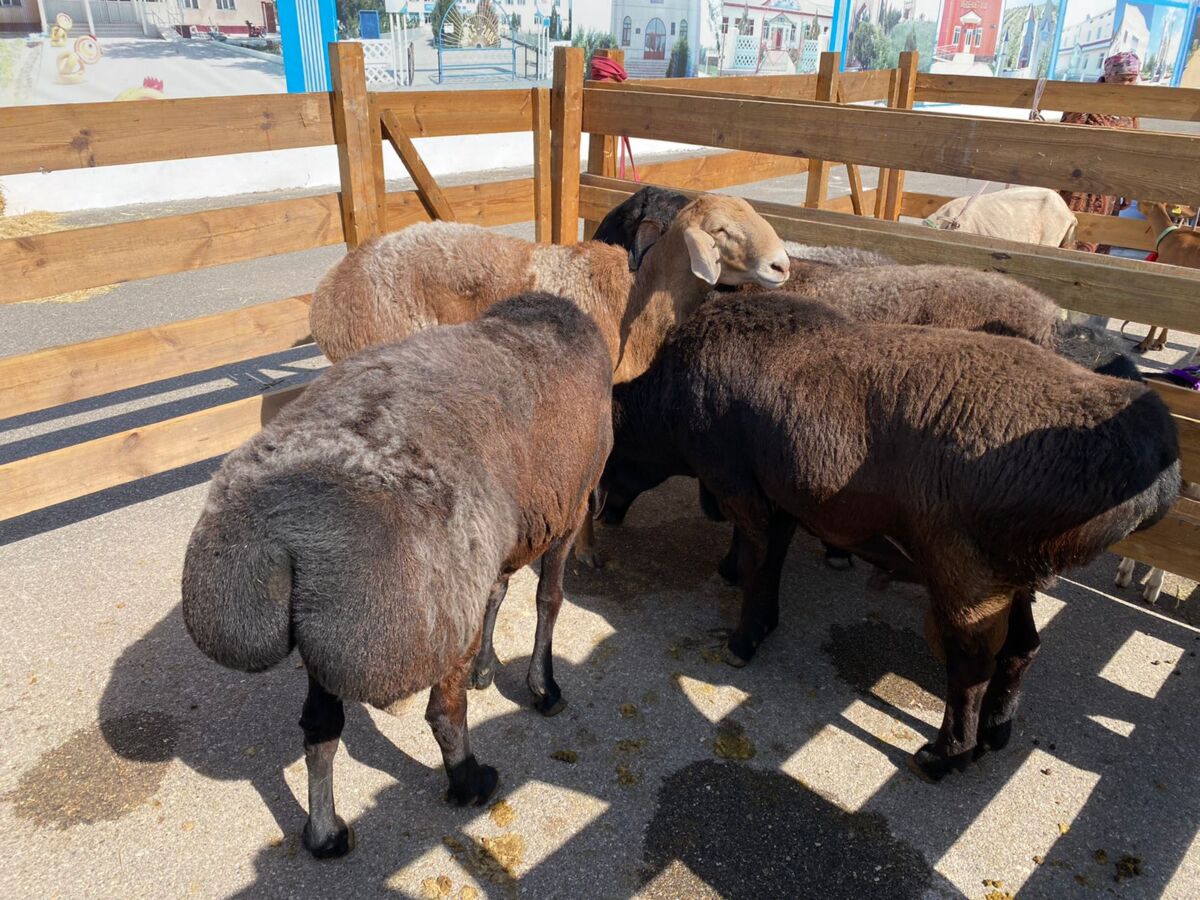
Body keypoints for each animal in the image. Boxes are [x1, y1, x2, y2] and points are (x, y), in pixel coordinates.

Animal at [182, 294, 614, 859]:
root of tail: (285, 531)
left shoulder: (502, 538)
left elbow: (498, 591)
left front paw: (487, 667)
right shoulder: (568, 509)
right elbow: (549, 599)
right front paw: (543, 688)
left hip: (330, 632)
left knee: (320, 728)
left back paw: (326, 834)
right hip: (429, 615)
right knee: (443, 713)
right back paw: (471, 782)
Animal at [595, 294, 1176, 782]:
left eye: (613, 451)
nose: (602, 513)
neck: (668, 404)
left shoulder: (741, 486)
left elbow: (760, 562)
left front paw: (742, 639)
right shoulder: (782, 498)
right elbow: (769, 560)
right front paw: (748, 596)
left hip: (963, 567)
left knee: (971, 664)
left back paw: (945, 756)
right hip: (1015, 572)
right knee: (1021, 649)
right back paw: (996, 733)